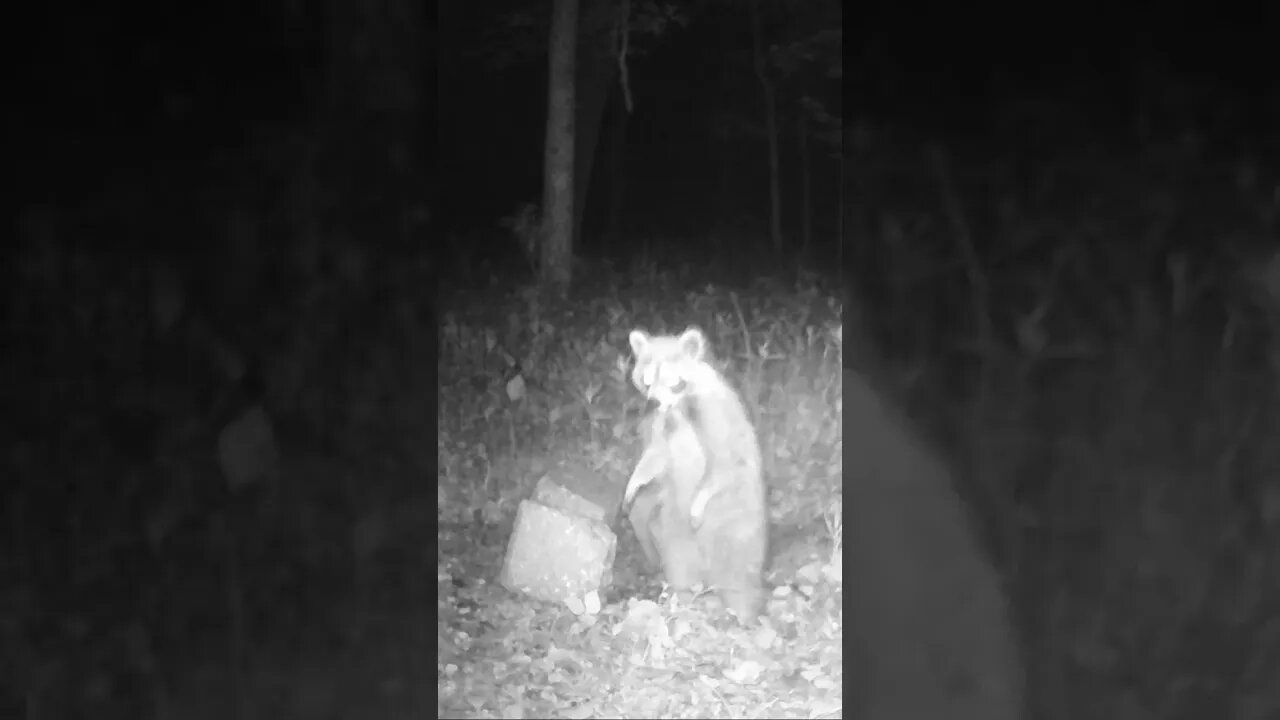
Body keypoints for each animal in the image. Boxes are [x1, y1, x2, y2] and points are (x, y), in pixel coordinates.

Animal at [623, 327, 768, 620]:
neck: (676, 407)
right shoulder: (661, 423)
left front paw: (701, 495)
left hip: (735, 521)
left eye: (672, 381)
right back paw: (684, 601)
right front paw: (637, 478)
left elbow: (724, 463)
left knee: (737, 569)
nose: (651, 402)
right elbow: (657, 456)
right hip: (674, 531)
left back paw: (742, 611)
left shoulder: (715, 414)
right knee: (680, 565)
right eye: (646, 381)